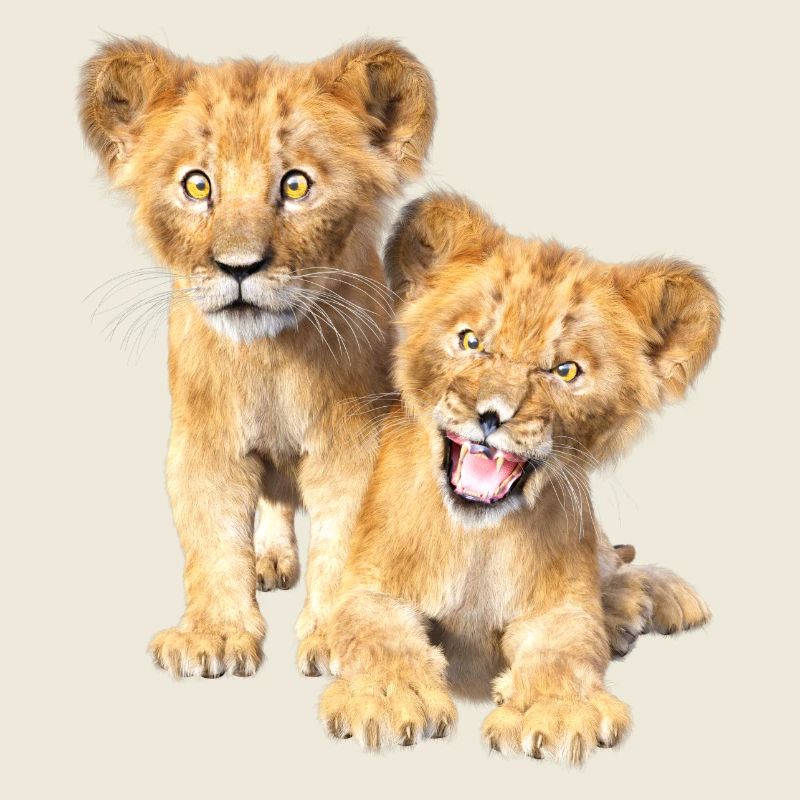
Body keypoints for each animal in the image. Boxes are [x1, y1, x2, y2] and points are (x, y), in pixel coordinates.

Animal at [79, 37, 436, 677]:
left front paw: (341, 638)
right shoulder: (204, 442)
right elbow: (213, 538)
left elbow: (347, 537)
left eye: (295, 186)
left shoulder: (356, 443)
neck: (271, 357)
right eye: (198, 186)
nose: (238, 266)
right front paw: (213, 636)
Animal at [316, 193, 720, 763]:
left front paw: (554, 712)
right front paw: (388, 699)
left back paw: (639, 602)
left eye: (565, 371)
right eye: (470, 342)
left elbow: (565, 647)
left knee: (613, 562)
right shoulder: (370, 583)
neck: (478, 543)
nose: (492, 415)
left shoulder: (560, 604)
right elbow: (375, 631)